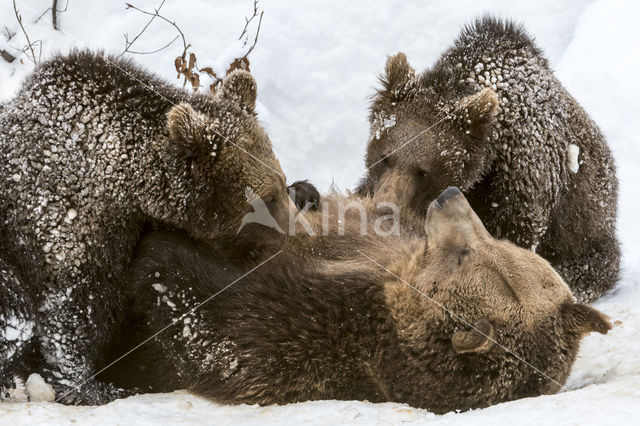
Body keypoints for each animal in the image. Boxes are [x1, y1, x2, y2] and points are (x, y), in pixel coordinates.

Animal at [0, 50, 296, 402]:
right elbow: (73, 311)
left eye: (282, 182)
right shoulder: (66, 219)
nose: (295, 235)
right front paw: (93, 387)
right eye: (268, 198)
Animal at [100, 186, 608, 412]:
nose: (449, 195)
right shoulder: (363, 244)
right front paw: (300, 194)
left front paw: (157, 249)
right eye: (498, 241)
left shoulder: (318, 332)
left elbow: (213, 326)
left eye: (466, 253)